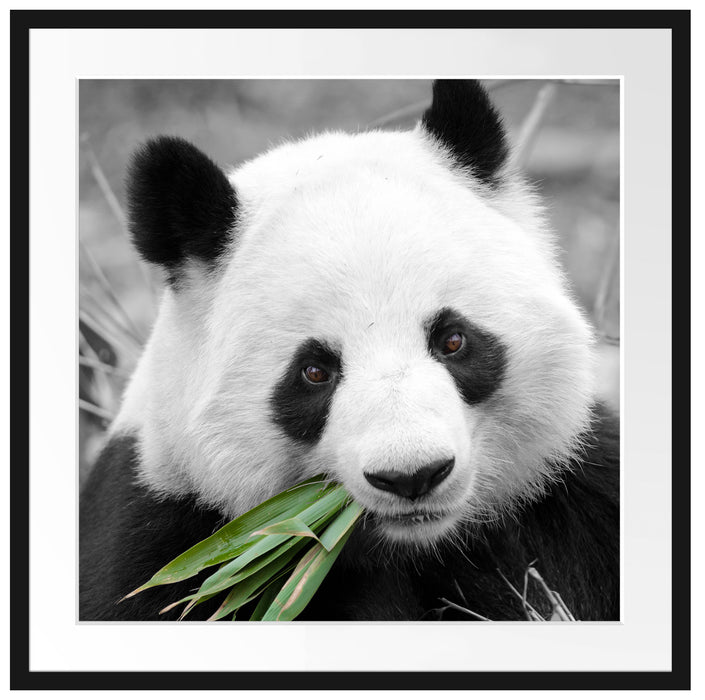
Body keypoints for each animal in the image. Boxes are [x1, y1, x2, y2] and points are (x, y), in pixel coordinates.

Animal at [79, 80, 619, 622]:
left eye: (452, 340)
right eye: (315, 371)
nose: (412, 476)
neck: (417, 545)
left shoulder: (573, 494)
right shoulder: (167, 537)